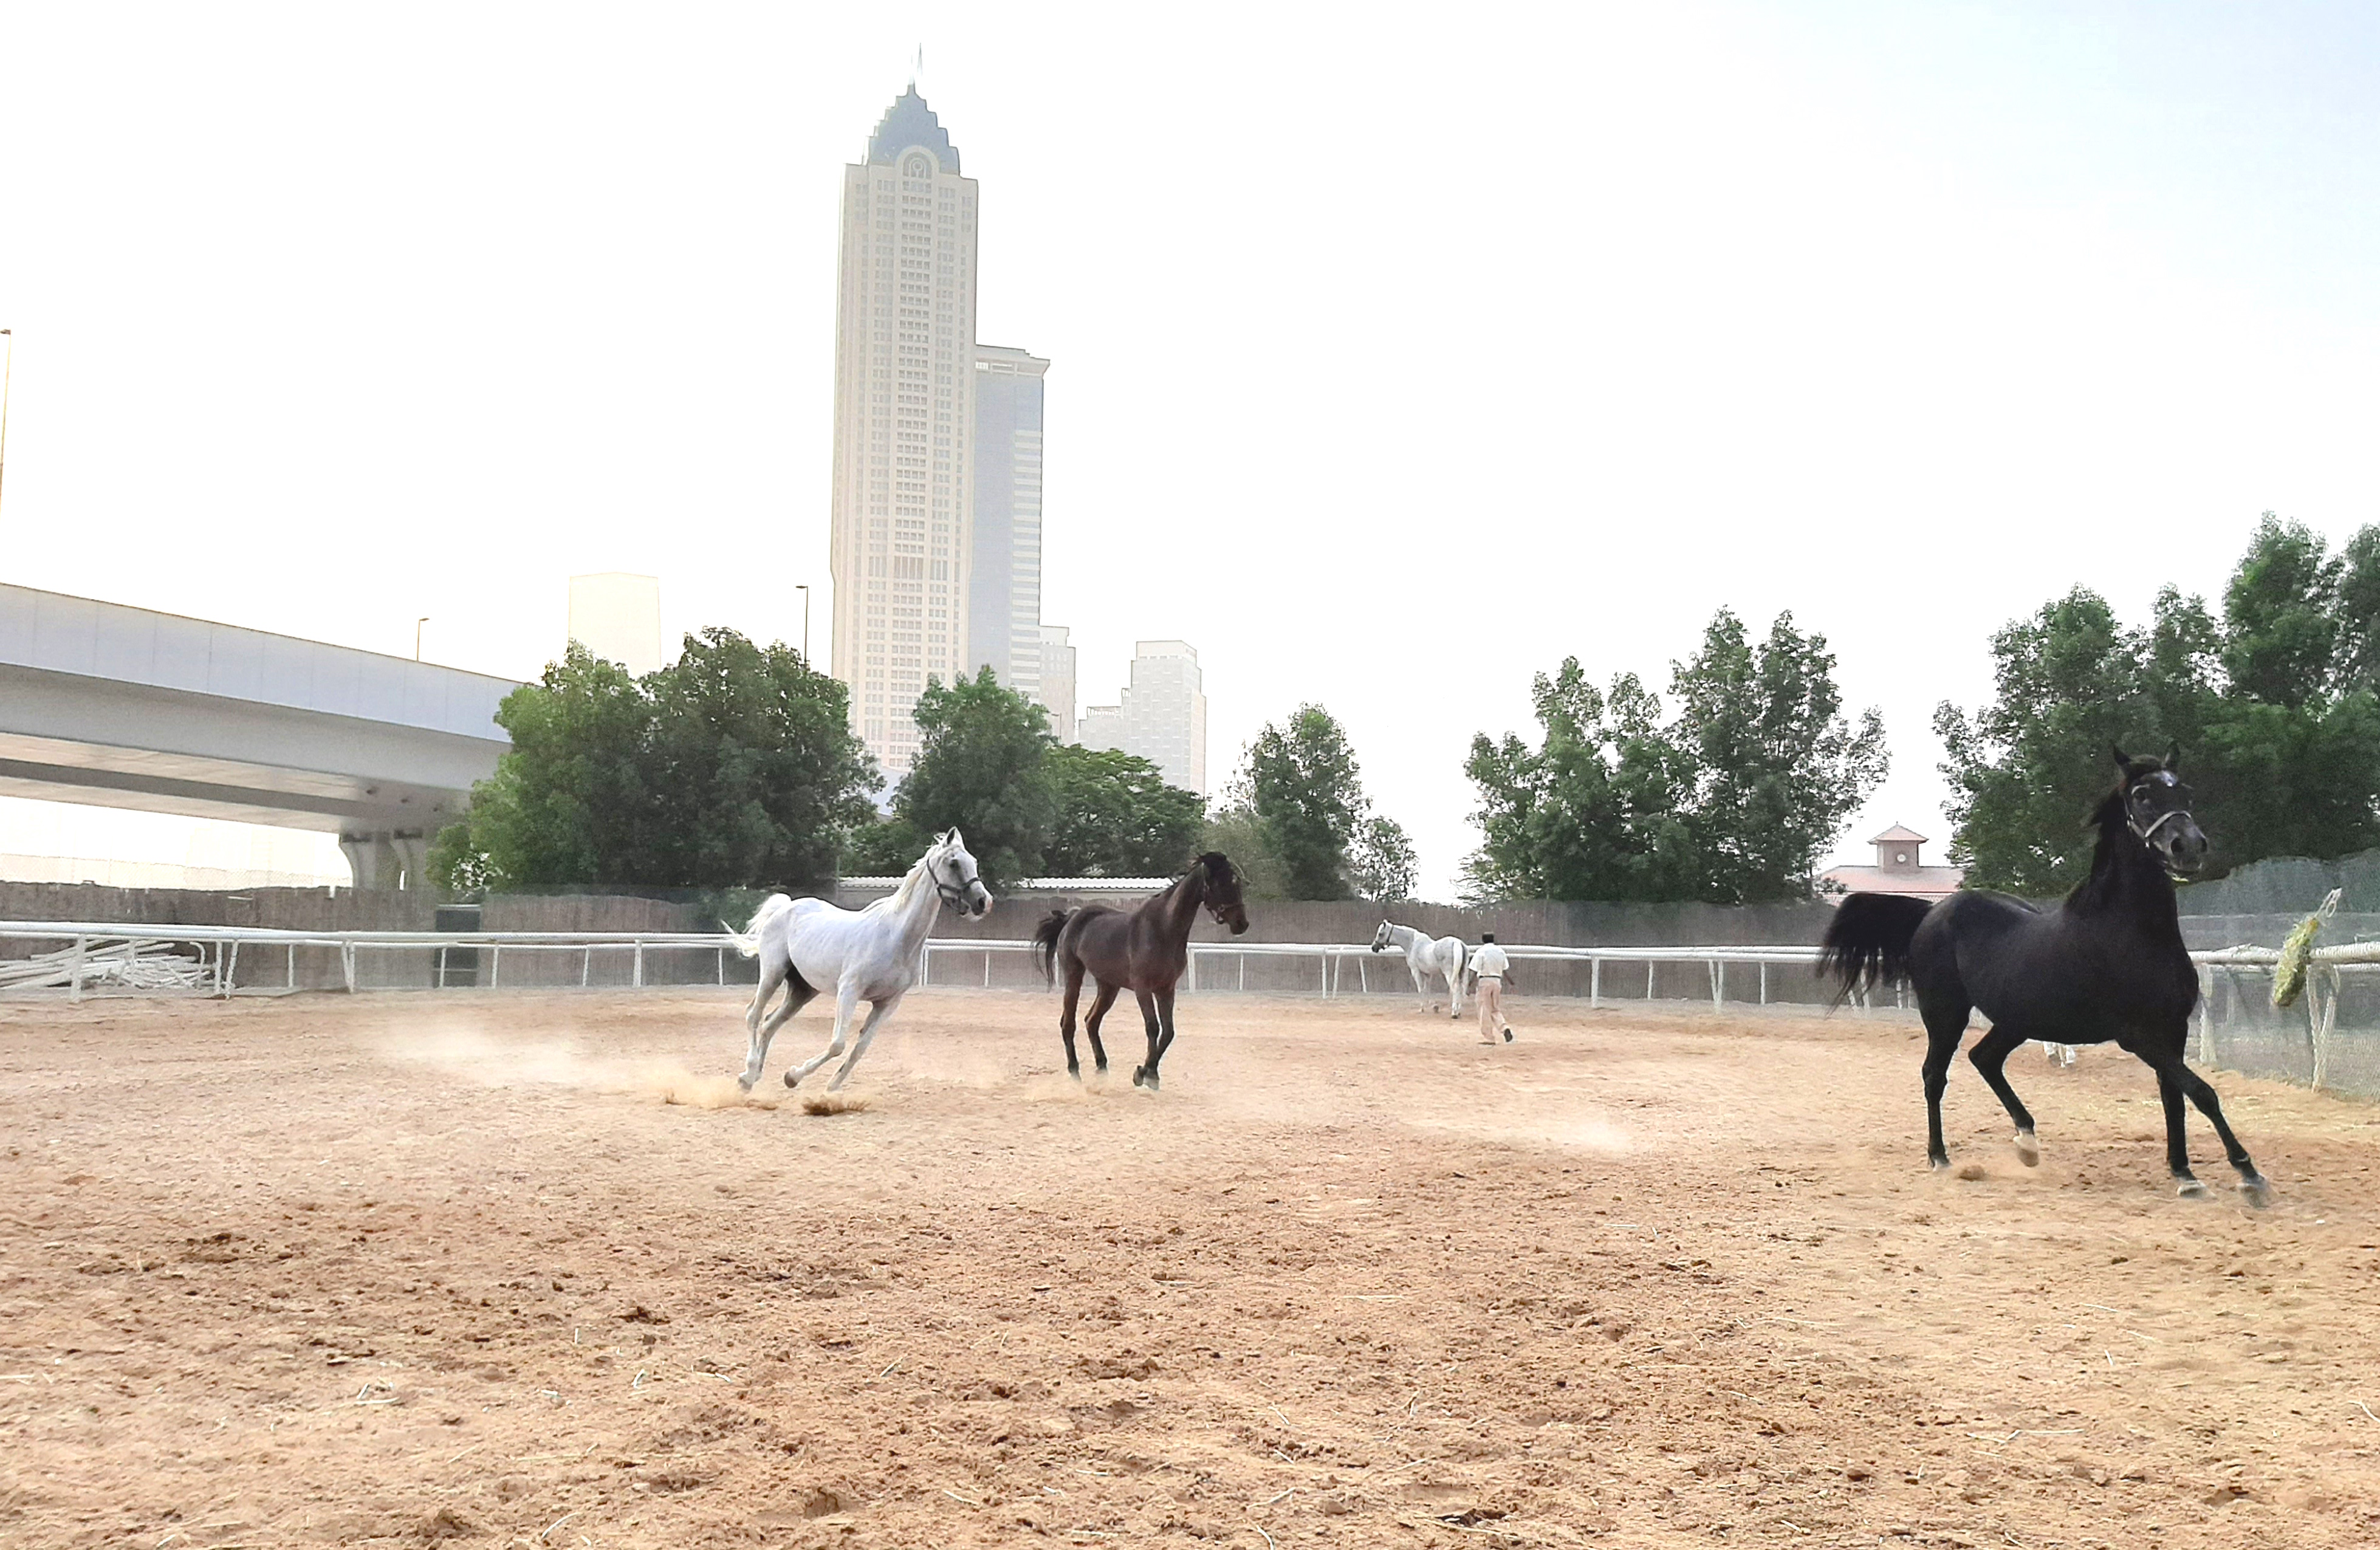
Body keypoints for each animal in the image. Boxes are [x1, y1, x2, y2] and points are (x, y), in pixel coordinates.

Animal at [718, 828, 990, 1095]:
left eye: (974, 862)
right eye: (954, 863)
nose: (983, 902)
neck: (896, 937)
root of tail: (784, 908)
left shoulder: (888, 1002)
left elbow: (861, 1048)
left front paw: (830, 1085)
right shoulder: (849, 991)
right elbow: (838, 1044)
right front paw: (793, 1076)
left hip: (803, 989)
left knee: (770, 1024)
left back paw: (753, 1076)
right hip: (773, 973)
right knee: (753, 1015)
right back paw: (748, 1074)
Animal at [1028, 857, 1257, 1095]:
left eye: (1236, 881)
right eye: (1220, 883)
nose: (1241, 923)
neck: (1164, 929)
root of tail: (1071, 918)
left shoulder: (1166, 989)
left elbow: (1168, 1032)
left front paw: (1152, 1075)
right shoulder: (1143, 988)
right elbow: (1153, 1027)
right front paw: (1141, 1074)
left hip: (1108, 986)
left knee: (1092, 1021)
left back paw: (1102, 1070)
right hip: (1074, 975)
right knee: (1068, 1023)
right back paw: (1075, 1074)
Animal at [1380, 924, 1466, 1019]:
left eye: (1380, 934)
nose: (1373, 948)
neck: (1412, 944)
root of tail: (1456, 942)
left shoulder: (1415, 971)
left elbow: (1421, 988)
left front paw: (1422, 1009)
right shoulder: (1427, 973)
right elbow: (1426, 988)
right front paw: (1433, 1006)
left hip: (1449, 974)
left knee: (1455, 988)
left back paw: (1454, 1013)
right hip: (1460, 973)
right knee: (1461, 988)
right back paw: (1458, 1012)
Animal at [1818, 747, 2265, 1204]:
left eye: (2185, 791)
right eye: (2141, 795)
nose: (2188, 846)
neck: (2130, 933)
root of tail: (1931, 911)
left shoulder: (2172, 1029)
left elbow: (2175, 1097)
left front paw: (2185, 1174)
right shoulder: (2136, 1035)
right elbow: (2202, 1092)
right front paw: (2247, 1173)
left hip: (2016, 1020)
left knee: (1984, 1058)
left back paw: (2027, 1143)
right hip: (1946, 1014)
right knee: (1934, 1075)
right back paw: (1940, 1157)